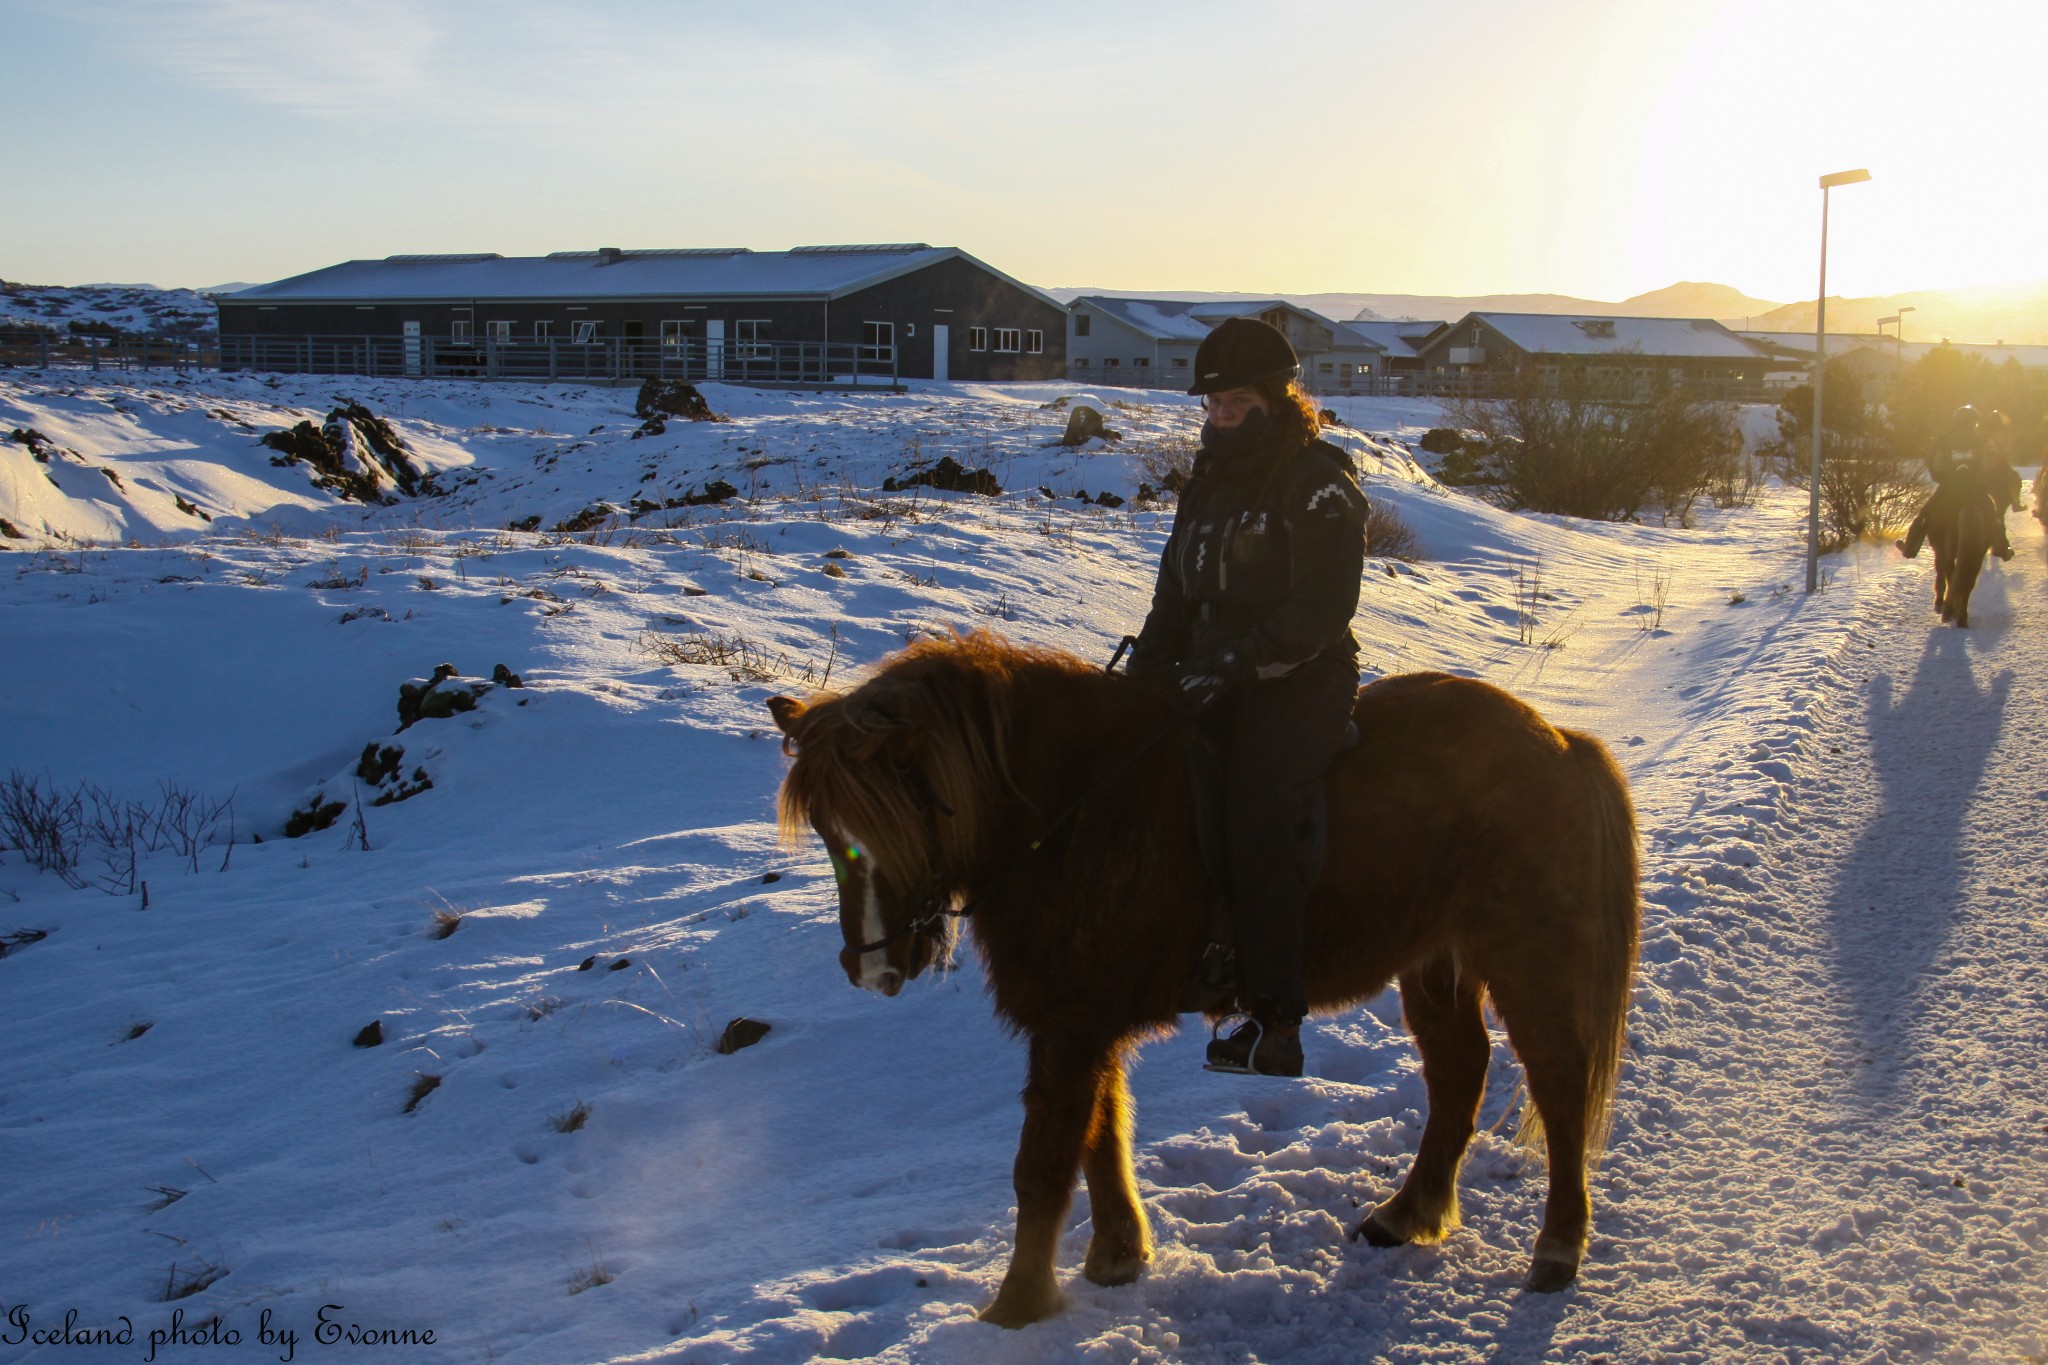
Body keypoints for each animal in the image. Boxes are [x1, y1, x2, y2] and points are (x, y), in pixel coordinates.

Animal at [761, 634, 1638, 1326]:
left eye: (899, 818)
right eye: (830, 832)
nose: (871, 967)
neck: (1071, 810)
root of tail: (1559, 740)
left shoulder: (1072, 1024)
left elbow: (1044, 1163)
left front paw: (1016, 1307)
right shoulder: (1081, 1020)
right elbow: (1102, 1133)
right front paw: (1117, 1255)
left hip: (1526, 954)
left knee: (1557, 1085)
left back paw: (1557, 1248)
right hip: (1435, 964)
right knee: (1459, 1074)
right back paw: (1406, 1213)